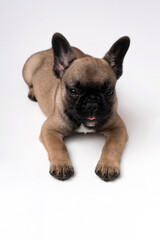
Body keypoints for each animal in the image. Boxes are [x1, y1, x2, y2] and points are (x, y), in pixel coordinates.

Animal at [22, 32, 130, 181]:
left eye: (109, 91)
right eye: (73, 91)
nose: (92, 102)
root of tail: (46, 50)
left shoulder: (118, 128)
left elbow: (111, 146)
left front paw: (107, 165)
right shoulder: (49, 129)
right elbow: (58, 146)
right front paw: (61, 165)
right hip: (27, 70)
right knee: (29, 83)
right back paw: (32, 92)